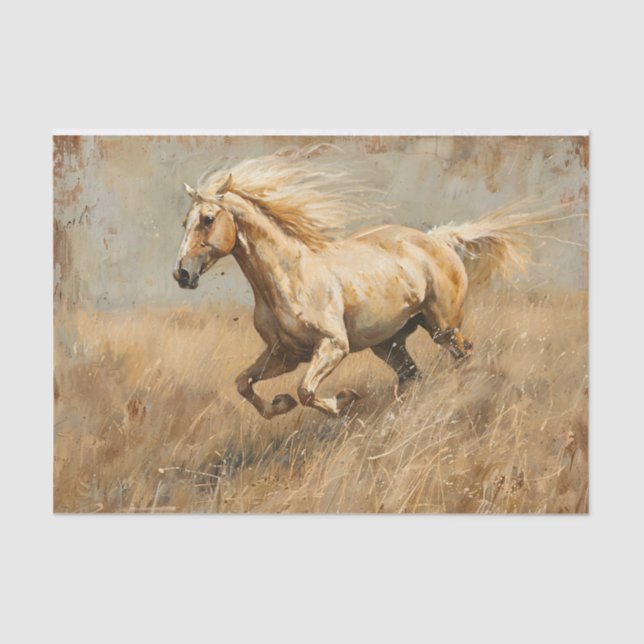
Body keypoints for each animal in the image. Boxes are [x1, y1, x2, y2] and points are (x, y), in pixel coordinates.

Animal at [173, 145, 534, 419]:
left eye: (208, 220)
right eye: (184, 222)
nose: (182, 274)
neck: (289, 277)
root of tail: (438, 239)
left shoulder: (333, 345)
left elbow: (306, 391)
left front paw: (345, 399)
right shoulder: (284, 354)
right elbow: (243, 383)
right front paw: (280, 404)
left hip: (443, 327)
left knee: (463, 354)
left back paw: (460, 396)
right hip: (388, 342)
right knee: (412, 376)